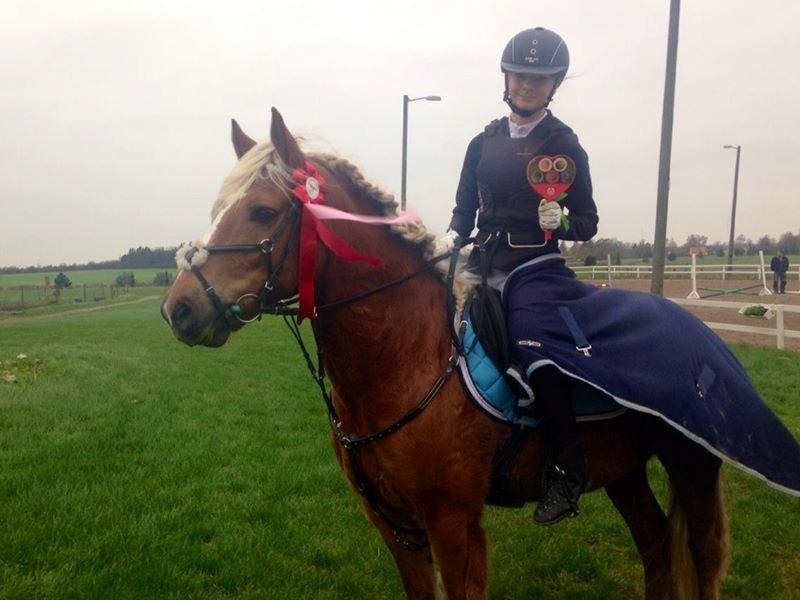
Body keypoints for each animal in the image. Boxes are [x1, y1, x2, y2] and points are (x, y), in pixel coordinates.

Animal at [162, 109, 732, 600]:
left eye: (262, 211)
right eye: (218, 212)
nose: (179, 309)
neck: (406, 354)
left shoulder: (453, 521)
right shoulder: (393, 522)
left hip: (692, 467)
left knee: (702, 563)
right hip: (623, 471)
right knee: (656, 548)